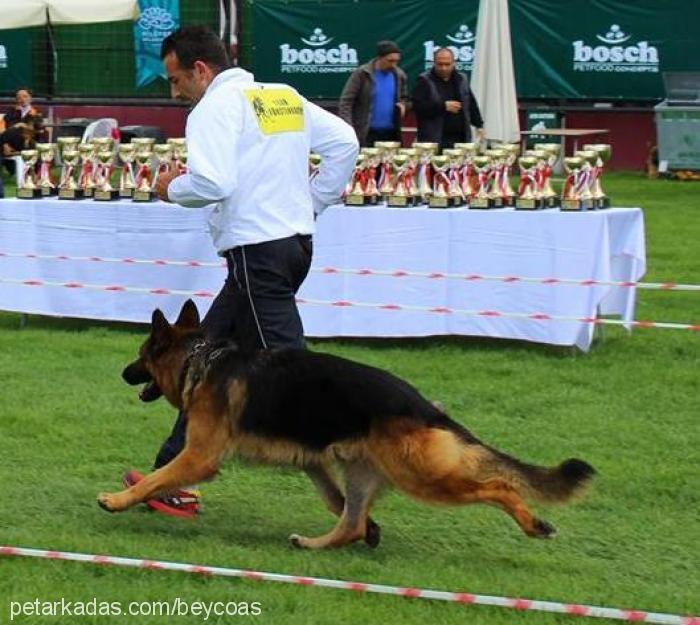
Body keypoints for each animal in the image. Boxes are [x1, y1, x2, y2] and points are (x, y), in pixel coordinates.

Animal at [97, 300, 592, 548]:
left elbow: (158, 478)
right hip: (365, 469)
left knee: (498, 486)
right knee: (350, 520)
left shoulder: (199, 456)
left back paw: (534, 525)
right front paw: (372, 530)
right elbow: (335, 502)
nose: (121, 372)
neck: (202, 359)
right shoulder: (312, 461)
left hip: (422, 476)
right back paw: (319, 542)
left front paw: (118, 500)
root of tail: (425, 407)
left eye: (140, 357)